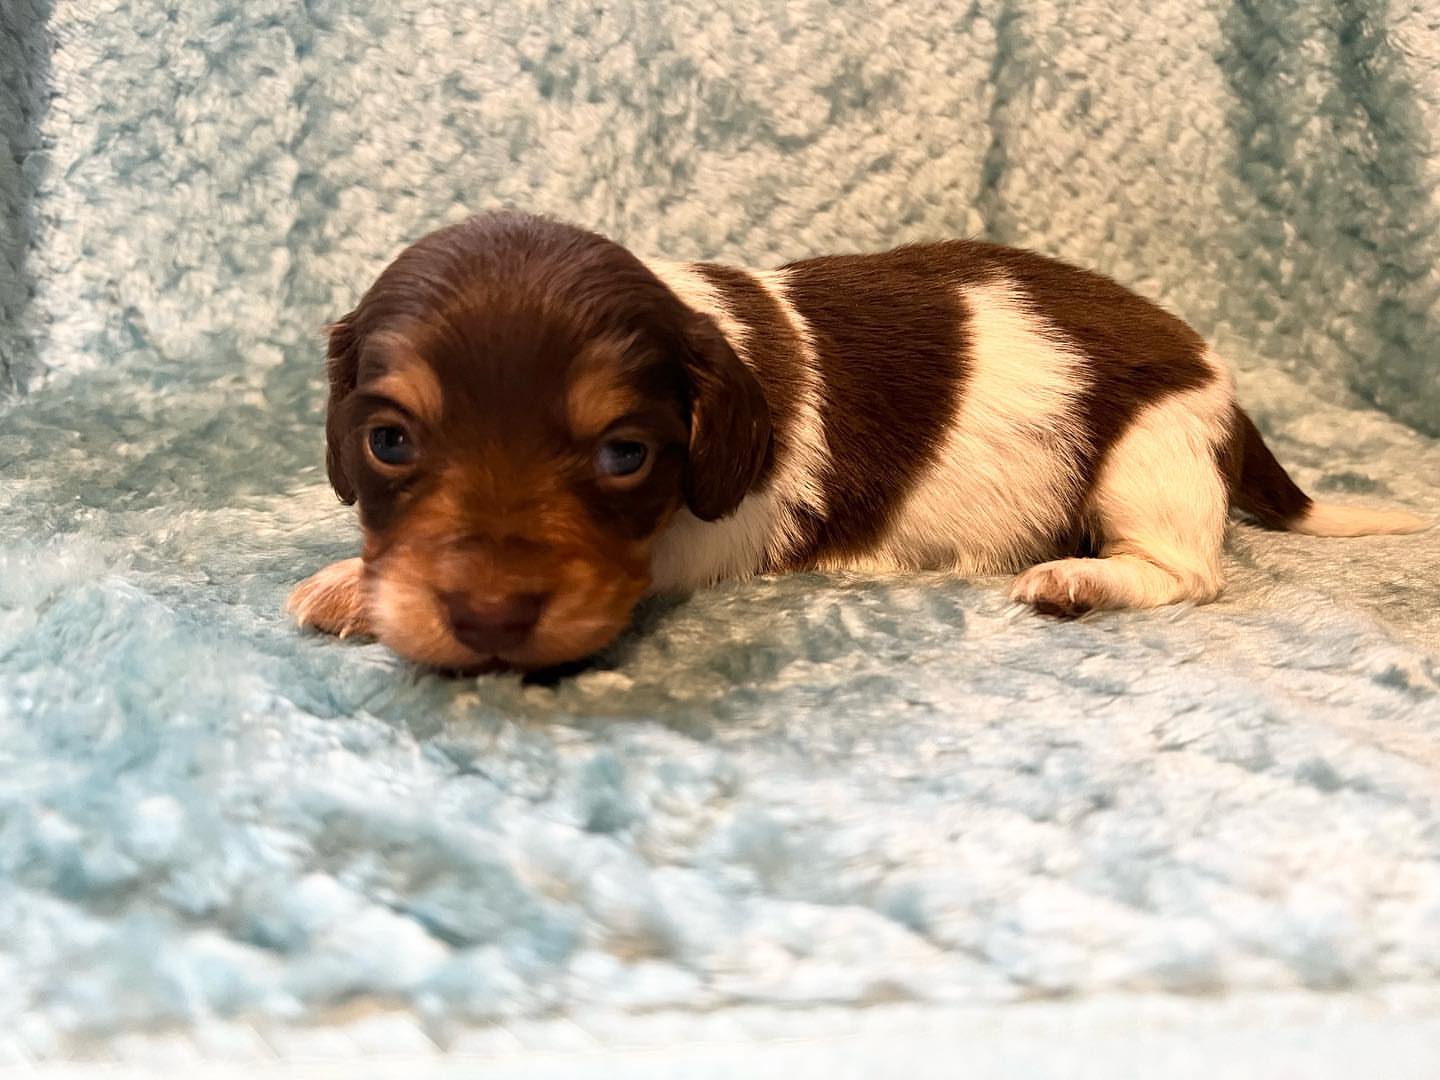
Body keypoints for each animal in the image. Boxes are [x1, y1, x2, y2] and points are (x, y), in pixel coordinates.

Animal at [283, 208, 1428, 676]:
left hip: (1150, 451)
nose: (484, 618)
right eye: (389, 442)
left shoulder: (707, 534)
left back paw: (1079, 581)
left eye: (624, 456)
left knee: (1190, 573)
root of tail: (1218, 377)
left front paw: (352, 589)